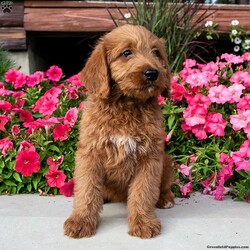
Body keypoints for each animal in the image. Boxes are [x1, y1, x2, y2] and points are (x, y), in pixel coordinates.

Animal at [63, 24, 175, 239]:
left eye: (156, 53)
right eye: (126, 53)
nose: (152, 73)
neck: (126, 105)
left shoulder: (150, 157)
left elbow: (143, 192)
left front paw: (143, 222)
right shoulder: (90, 154)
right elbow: (87, 190)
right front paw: (81, 221)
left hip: (166, 160)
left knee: (163, 186)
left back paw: (165, 199)